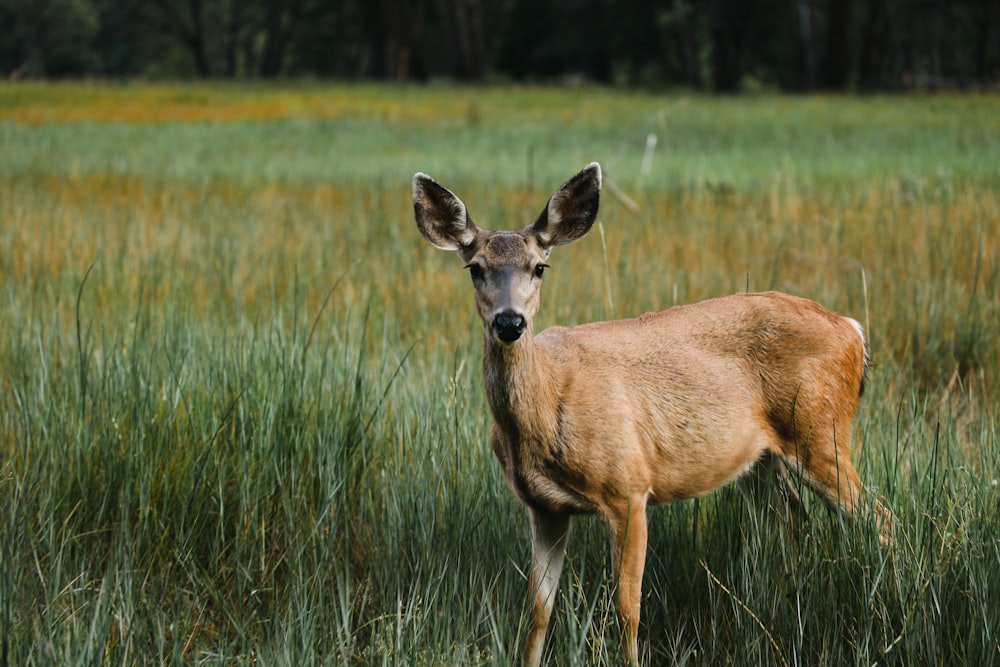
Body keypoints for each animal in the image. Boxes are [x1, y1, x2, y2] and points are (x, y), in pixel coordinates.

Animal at [410, 163, 896, 667]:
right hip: (760, 461)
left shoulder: (628, 486)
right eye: (475, 268)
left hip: (821, 429)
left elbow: (627, 607)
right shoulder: (544, 507)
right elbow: (538, 611)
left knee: (880, 518)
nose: (510, 322)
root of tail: (854, 332)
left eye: (539, 267)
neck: (547, 407)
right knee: (798, 524)